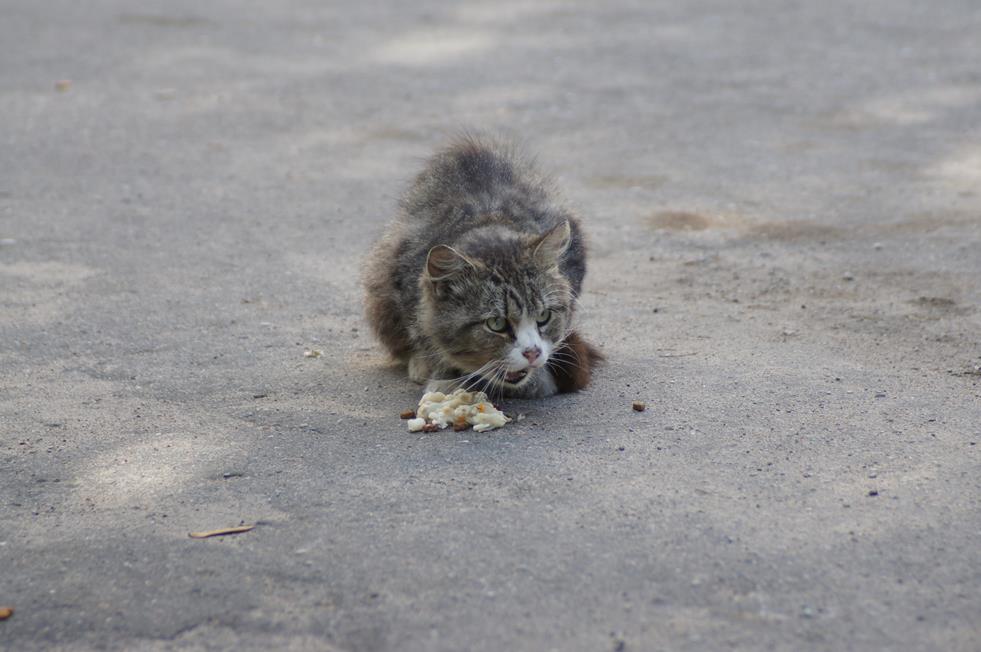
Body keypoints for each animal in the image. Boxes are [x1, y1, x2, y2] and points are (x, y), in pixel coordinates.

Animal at [364, 135, 600, 398]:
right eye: (496, 324)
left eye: (544, 316)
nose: (532, 353)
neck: (488, 220)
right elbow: (426, 337)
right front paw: (444, 376)